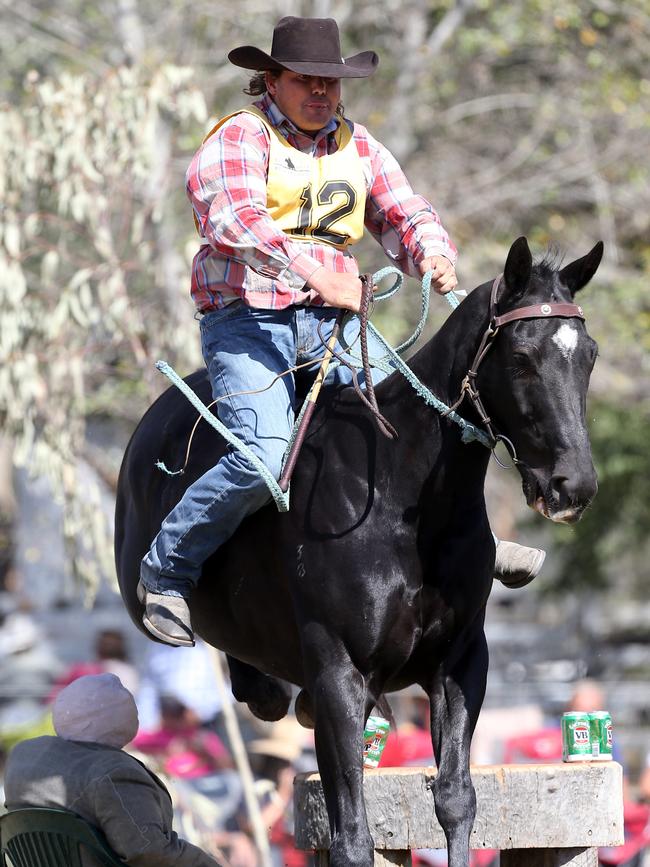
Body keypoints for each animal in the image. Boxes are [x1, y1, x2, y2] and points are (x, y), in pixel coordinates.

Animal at [115, 239, 604, 867]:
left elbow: (455, 801)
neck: (403, 498)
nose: (574, 485)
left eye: (587, 356)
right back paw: (172, 604)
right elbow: (351, 836)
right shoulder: (338, 674)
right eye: (521, 357)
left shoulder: (461, 661)